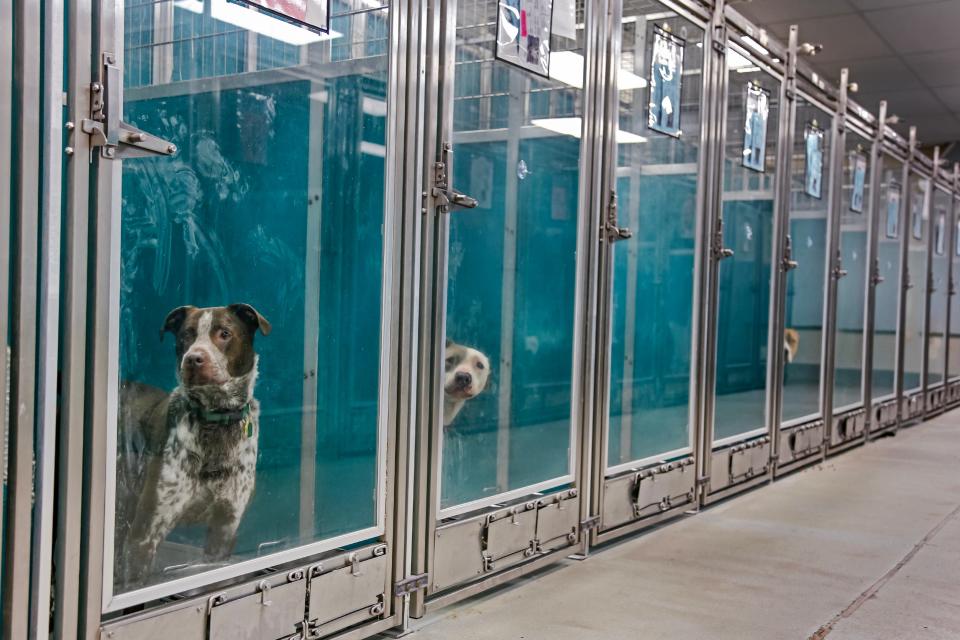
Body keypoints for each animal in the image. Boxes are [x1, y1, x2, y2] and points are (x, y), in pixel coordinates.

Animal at [119, 302, 272, 588]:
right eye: (186, 335)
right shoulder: (145, 533)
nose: (193, 359)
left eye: (225, 333)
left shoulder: (225, 528)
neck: (216, 421)